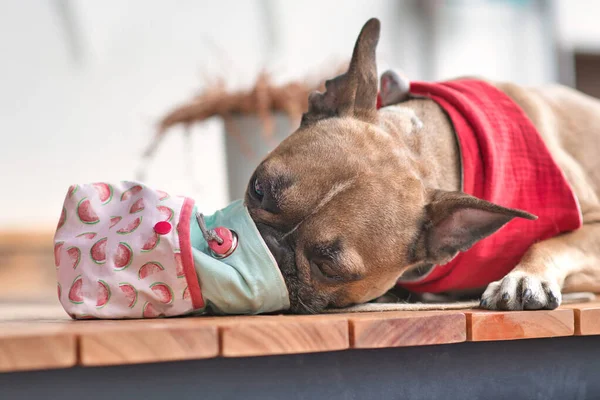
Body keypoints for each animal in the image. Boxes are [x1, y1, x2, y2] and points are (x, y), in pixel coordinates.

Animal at [244, 18, 600, 312]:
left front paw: (525, 276)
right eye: (257, 188)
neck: (422, 149)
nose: (267, 246)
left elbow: (554, 242)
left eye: (329, 269)